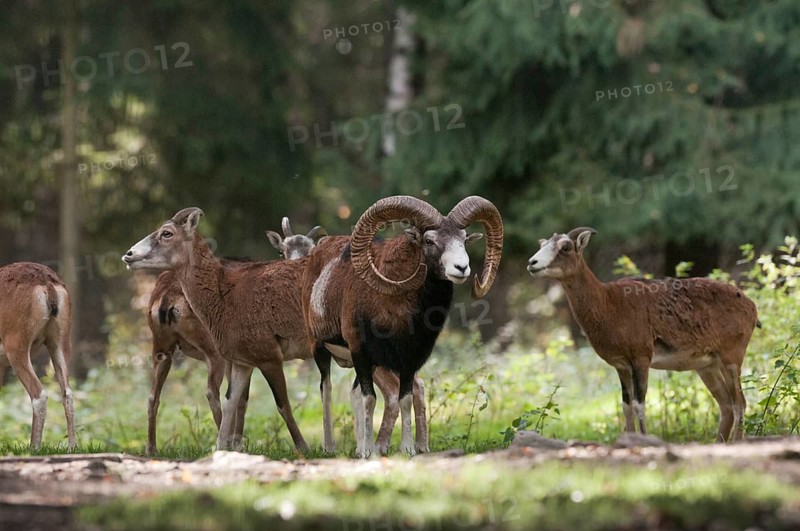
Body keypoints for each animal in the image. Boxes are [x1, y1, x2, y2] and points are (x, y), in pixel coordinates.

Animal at [0, 262, 76, 450]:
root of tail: (47, 284)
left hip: (16, 345)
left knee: (39, 394)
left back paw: (34, 447)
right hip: (60, 342)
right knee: (68, 394)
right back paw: (72, 447)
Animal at [142, 218, 326, 454]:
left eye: (310, 250)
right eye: (281, 251)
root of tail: (166, 300)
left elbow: (239, 397)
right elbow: (242, 398)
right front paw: (237, 442)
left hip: (160, 344)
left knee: (152, 396)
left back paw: (152, 448)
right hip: (212, 349)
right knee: (211, 392)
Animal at [302, 195, 503, 457]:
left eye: (463, 239)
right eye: (429, 241)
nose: (461, 268)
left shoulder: (409, 359)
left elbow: (404, 398)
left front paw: (407, 449)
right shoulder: (361, 353)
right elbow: (369, 399)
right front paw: (368, 453)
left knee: (355, 393)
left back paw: (359, 447)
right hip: (321, 350)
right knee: (326, 392)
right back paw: (331, 449)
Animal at [526, 227, 759, 442]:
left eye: (565, 247)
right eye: (543, 244)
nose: (532, 262)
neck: (609, 305)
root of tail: (752, 307)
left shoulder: (641, 359)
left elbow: (640, 405)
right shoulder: (621, 365)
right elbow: (626, 406)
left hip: (731, 358)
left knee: (740, 403)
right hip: (707, 366)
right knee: (727, 405)